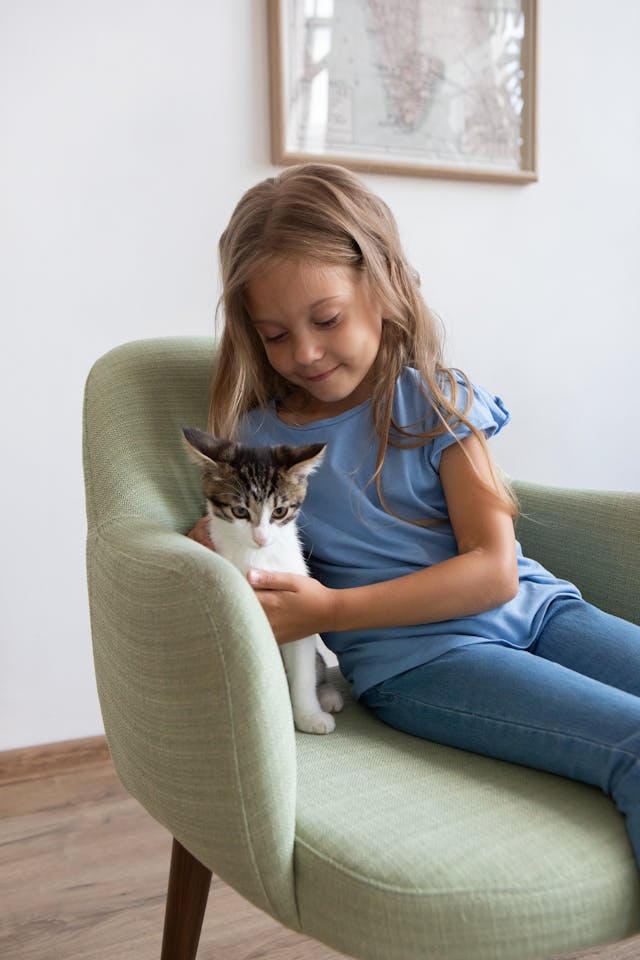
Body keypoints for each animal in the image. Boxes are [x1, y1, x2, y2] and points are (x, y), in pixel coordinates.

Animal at [182, 428, 342, 736]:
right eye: (240, 511)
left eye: (279, 512)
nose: (261, 538)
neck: (258, 557)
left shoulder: (299, 607)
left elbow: (303, 669)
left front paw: (308, 715)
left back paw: (327, 696)